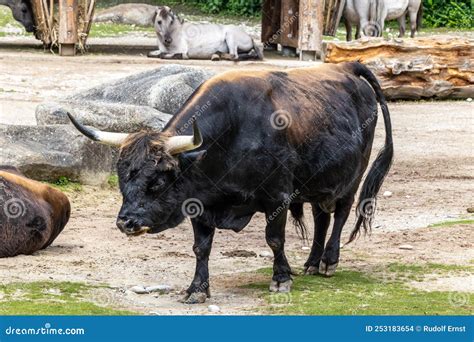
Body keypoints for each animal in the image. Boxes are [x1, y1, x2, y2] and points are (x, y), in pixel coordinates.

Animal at [67, 62, 392, 304]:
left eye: (157, 182)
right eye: (123, 179)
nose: (126, 223)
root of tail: (347, 67)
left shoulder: (277, 197)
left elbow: (275, 239)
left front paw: (281, 278)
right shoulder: (199, 203)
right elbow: (201, 248)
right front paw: (197, 289)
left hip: (352, 177)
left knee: (341, 214)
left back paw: (328, 261)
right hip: (319, 181)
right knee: (321, 216)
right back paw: (311, 262)